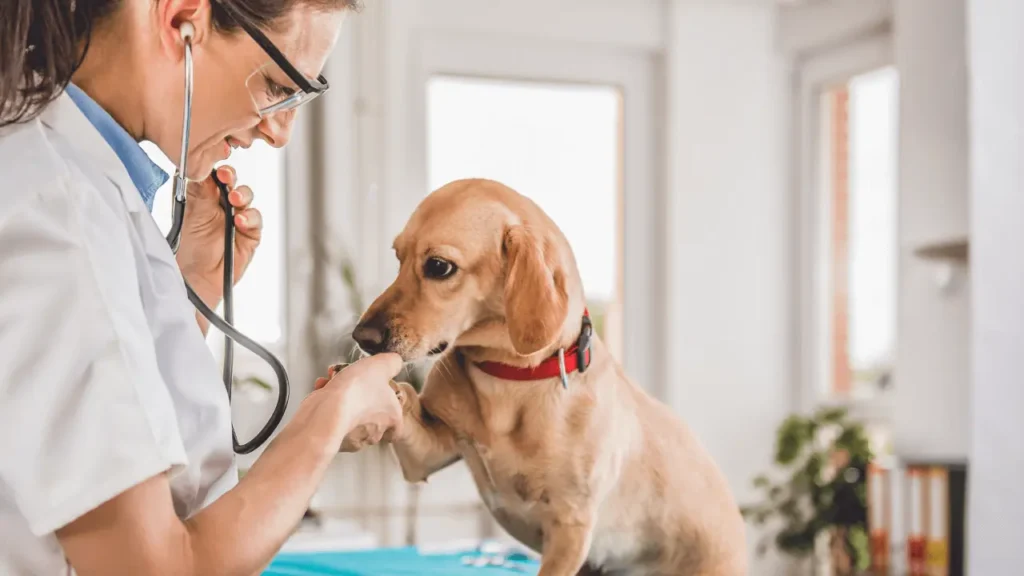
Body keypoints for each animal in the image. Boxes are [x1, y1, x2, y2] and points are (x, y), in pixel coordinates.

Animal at [352, 179, 745, 573]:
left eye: (438, 266)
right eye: (398, 257)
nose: (361, 338)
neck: (508, 380)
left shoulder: (570, 526)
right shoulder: (426, 456)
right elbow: (404, 401)